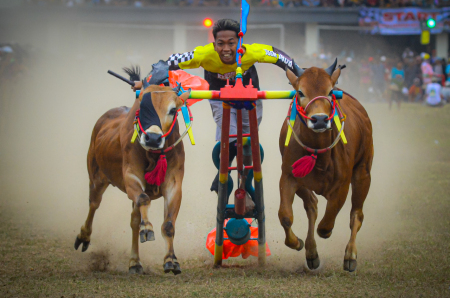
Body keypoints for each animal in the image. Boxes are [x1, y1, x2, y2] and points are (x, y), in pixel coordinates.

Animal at [73, 68, 192, 274]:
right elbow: (143, 200)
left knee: (134, 220)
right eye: (143, 107)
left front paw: (171, 260)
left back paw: (135, 262)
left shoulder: (174, 185)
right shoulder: (131, 178)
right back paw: (84, 237)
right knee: (94, 205)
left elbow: (168, 225)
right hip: (96, 178)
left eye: (172, 110)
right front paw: (148, 228)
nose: (152, 138)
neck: (153, 155)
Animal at [280, 60, 374, 272]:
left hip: (363, 173)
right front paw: (297, 243)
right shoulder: (289, 177)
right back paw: (311, 252)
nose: (320, 120)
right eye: (300, 92)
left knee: (356, 215)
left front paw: (329, 236)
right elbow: (286, 216)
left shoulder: (343, 185)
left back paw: (350, 255)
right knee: (312, 206)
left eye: (330, 92)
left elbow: (326, 225)